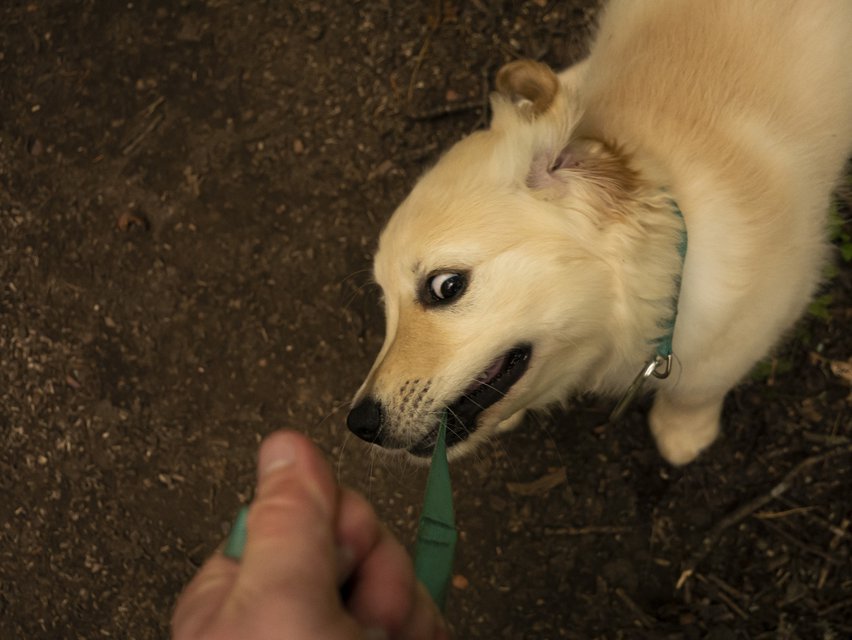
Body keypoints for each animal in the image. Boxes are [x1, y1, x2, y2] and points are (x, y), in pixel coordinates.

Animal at [346, 2, 852, 468]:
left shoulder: (750, 329)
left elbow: (698, 389)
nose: (359, 424)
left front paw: (682, 432)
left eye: (446, 286)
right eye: (384, 302)